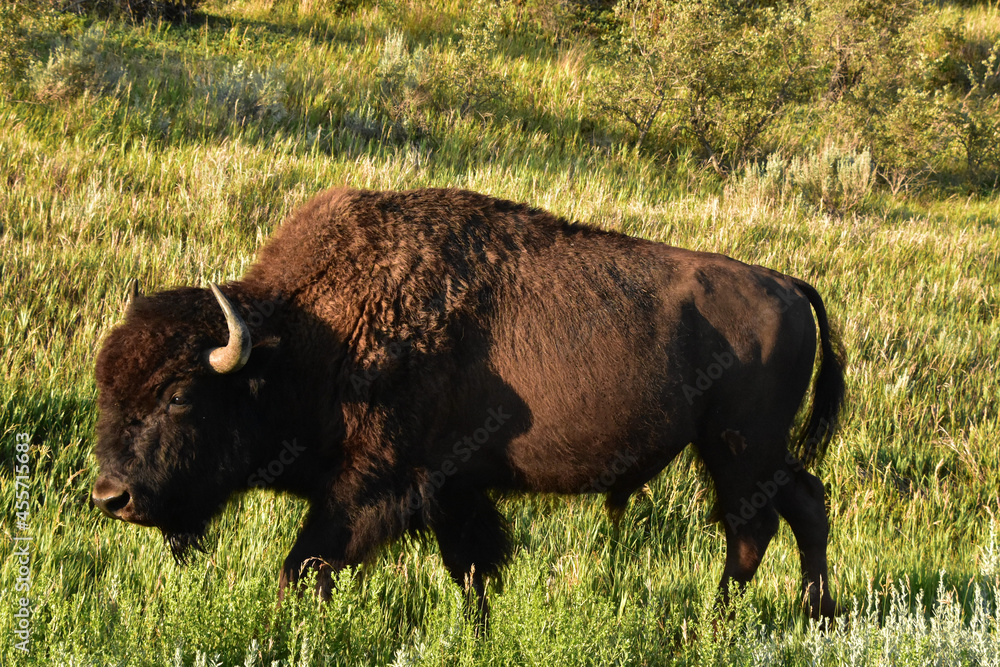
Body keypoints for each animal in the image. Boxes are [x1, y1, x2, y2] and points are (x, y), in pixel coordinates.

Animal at [94, 187, 844, 628]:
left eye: (181, 394)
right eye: (107, 385)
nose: (111, 496)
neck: (311, 332)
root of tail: (786, 283)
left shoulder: (372, 486)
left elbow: (303, 567)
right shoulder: (453, 491)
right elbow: (474, 571)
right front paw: (479, 633)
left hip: (738, 447)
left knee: (752, 529)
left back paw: (715, 624)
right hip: (758, 452)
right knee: (806, 505)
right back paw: (815, 615)